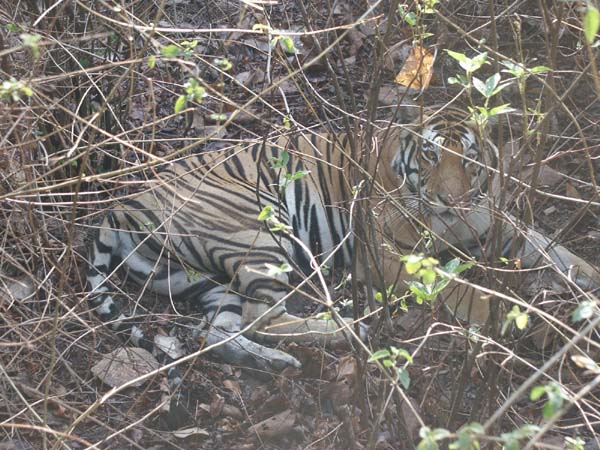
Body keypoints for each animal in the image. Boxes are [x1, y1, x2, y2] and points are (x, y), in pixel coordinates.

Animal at [86, 105, 596, 372]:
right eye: (430, 155)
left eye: (469, 160)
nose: (452, 199)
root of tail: (126, 202)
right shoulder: (389, 256)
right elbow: (460, 288)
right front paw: (511, 317)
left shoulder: (493, 224)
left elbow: (550, 246)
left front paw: (587, 281)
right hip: (258, 230)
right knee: (264, 317)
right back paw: (350, 329)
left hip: (197, 279)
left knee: (221, 331)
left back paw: (278, 362)